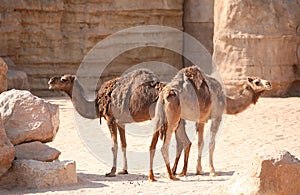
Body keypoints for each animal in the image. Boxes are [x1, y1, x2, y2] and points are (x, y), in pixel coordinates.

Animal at [47, 69, 188, 177]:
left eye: (63, 79)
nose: (50, 82)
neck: (96, 104)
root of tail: (173, 92)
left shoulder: (110, 118)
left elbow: (114, 145)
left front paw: (111, 171)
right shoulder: (121, 122)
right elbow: (124, 144)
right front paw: (124, 170)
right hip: (176, 117)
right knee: (183, 141)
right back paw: (178, 172)